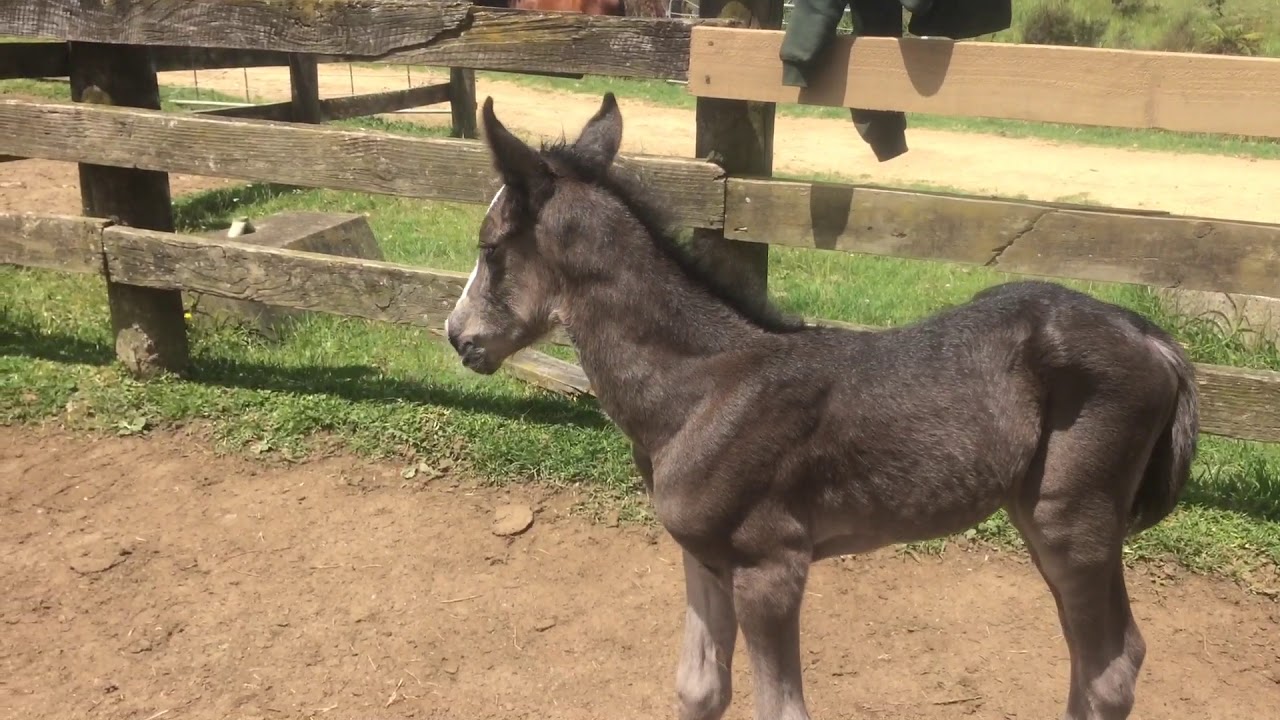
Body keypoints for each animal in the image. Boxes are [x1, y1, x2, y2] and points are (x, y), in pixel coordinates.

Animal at [445, 93, 1199, 720]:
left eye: (490, 248)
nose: (458, 337)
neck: (702, 389)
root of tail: (1154, 338)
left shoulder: (770, 565)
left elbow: (780, 710)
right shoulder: (702, 556)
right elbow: (699, 690)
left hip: (1073, 522)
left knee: (1111, 670)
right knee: (1100, 658)